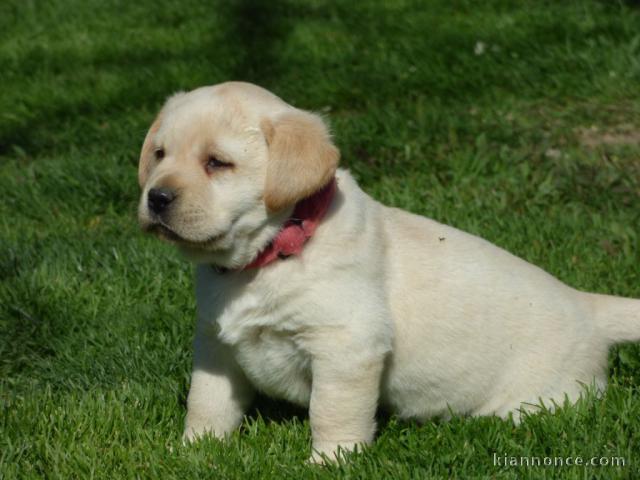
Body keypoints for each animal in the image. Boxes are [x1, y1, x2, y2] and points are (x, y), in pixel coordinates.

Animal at [138, 81, 636, 462]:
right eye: (160, 154)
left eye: (217, 163)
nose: (156, 197)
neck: (266, 258)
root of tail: (589, 306)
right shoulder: (214, 344)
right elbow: (206, 402)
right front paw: (193, 450)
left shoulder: (347, 346)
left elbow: (332, 411)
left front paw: (331, 461)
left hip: (539, 397)